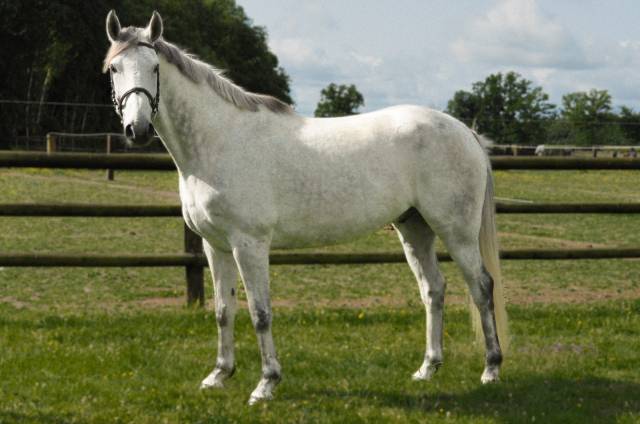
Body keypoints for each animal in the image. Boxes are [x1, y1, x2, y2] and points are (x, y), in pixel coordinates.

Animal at [104, 10, 508, 405]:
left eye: (154, 67)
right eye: (114, 69)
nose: (137, 129)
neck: (219, 141)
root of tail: (464, 130)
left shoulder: (249, 244)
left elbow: (260, 312)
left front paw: (265, 384)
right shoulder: (214, 245)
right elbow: (223, 310)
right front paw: (218, 375)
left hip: (456, 230)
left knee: (481, 286)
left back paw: (491, 369)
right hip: (414, 228)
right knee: (433, 289)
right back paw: (427, 368)